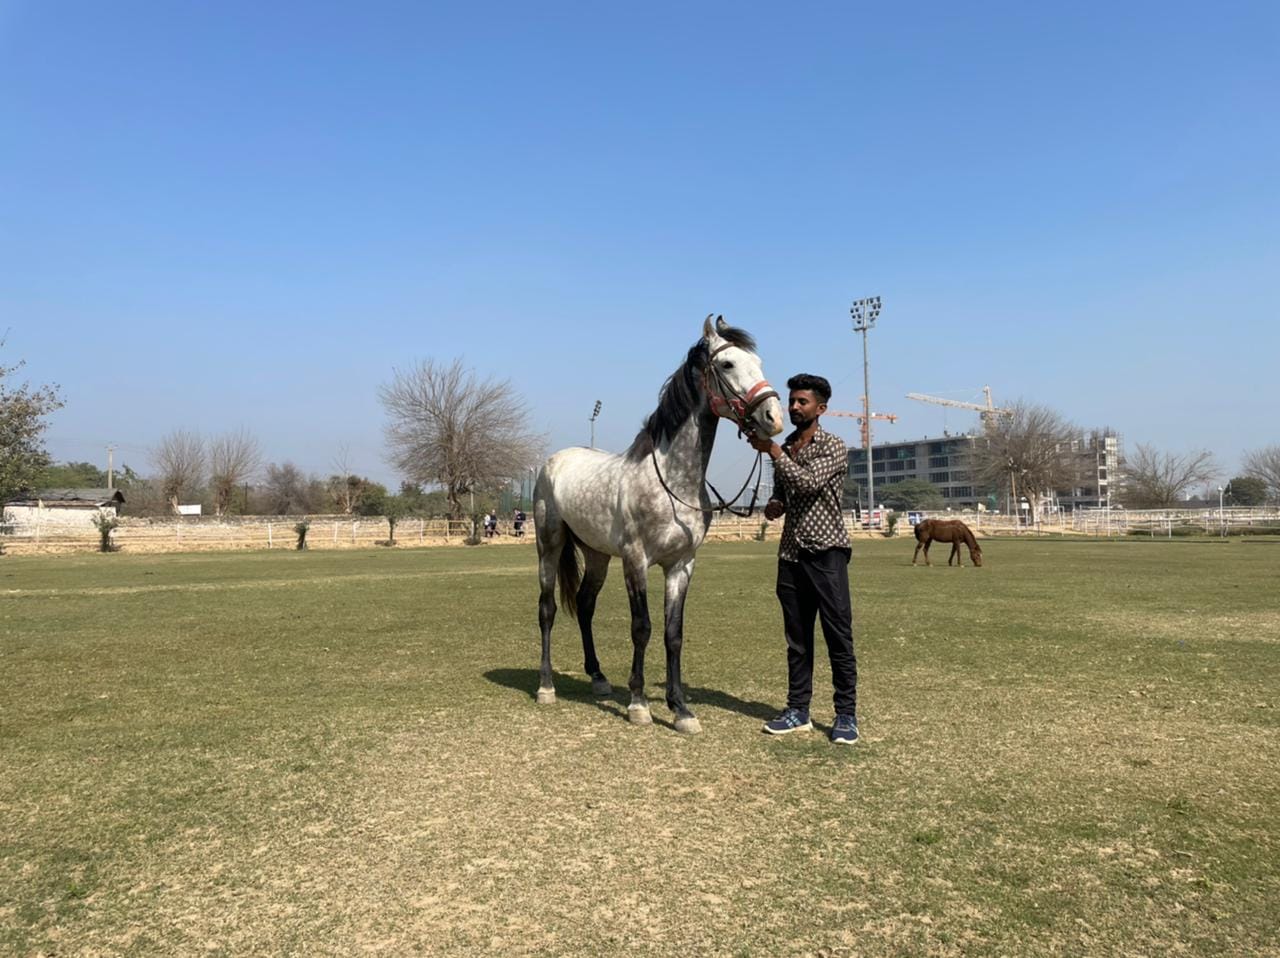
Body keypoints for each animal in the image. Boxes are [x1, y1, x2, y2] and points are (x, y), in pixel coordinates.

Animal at [533, 315, 784, 733]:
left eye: (759, 362)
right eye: (728, 364)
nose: (774, 418)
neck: (671, 480)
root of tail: (555, 461)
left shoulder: (681, 565)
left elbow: (673, 633)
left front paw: (680, 709)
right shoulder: (636, 561)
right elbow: (642, 627)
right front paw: (638, 705)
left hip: (597, 555)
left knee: (585, 605)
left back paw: (598, 678)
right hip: (549, 547)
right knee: (547, 609)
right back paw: (546, 686)